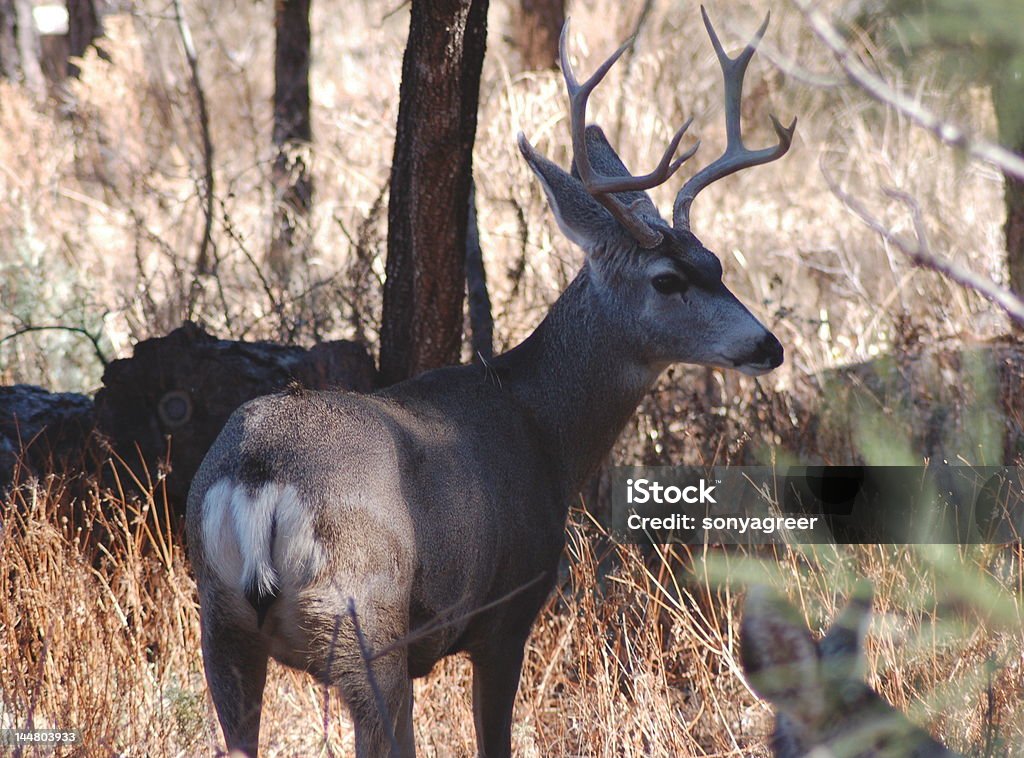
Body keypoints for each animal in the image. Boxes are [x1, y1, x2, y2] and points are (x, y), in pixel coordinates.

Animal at [184, 7, 790, 758]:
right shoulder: (508, 612)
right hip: (363, 623)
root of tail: (258, 477)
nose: (768, 346)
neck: (544, 431)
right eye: (668, 279)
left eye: (716, 263)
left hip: (220, 623)